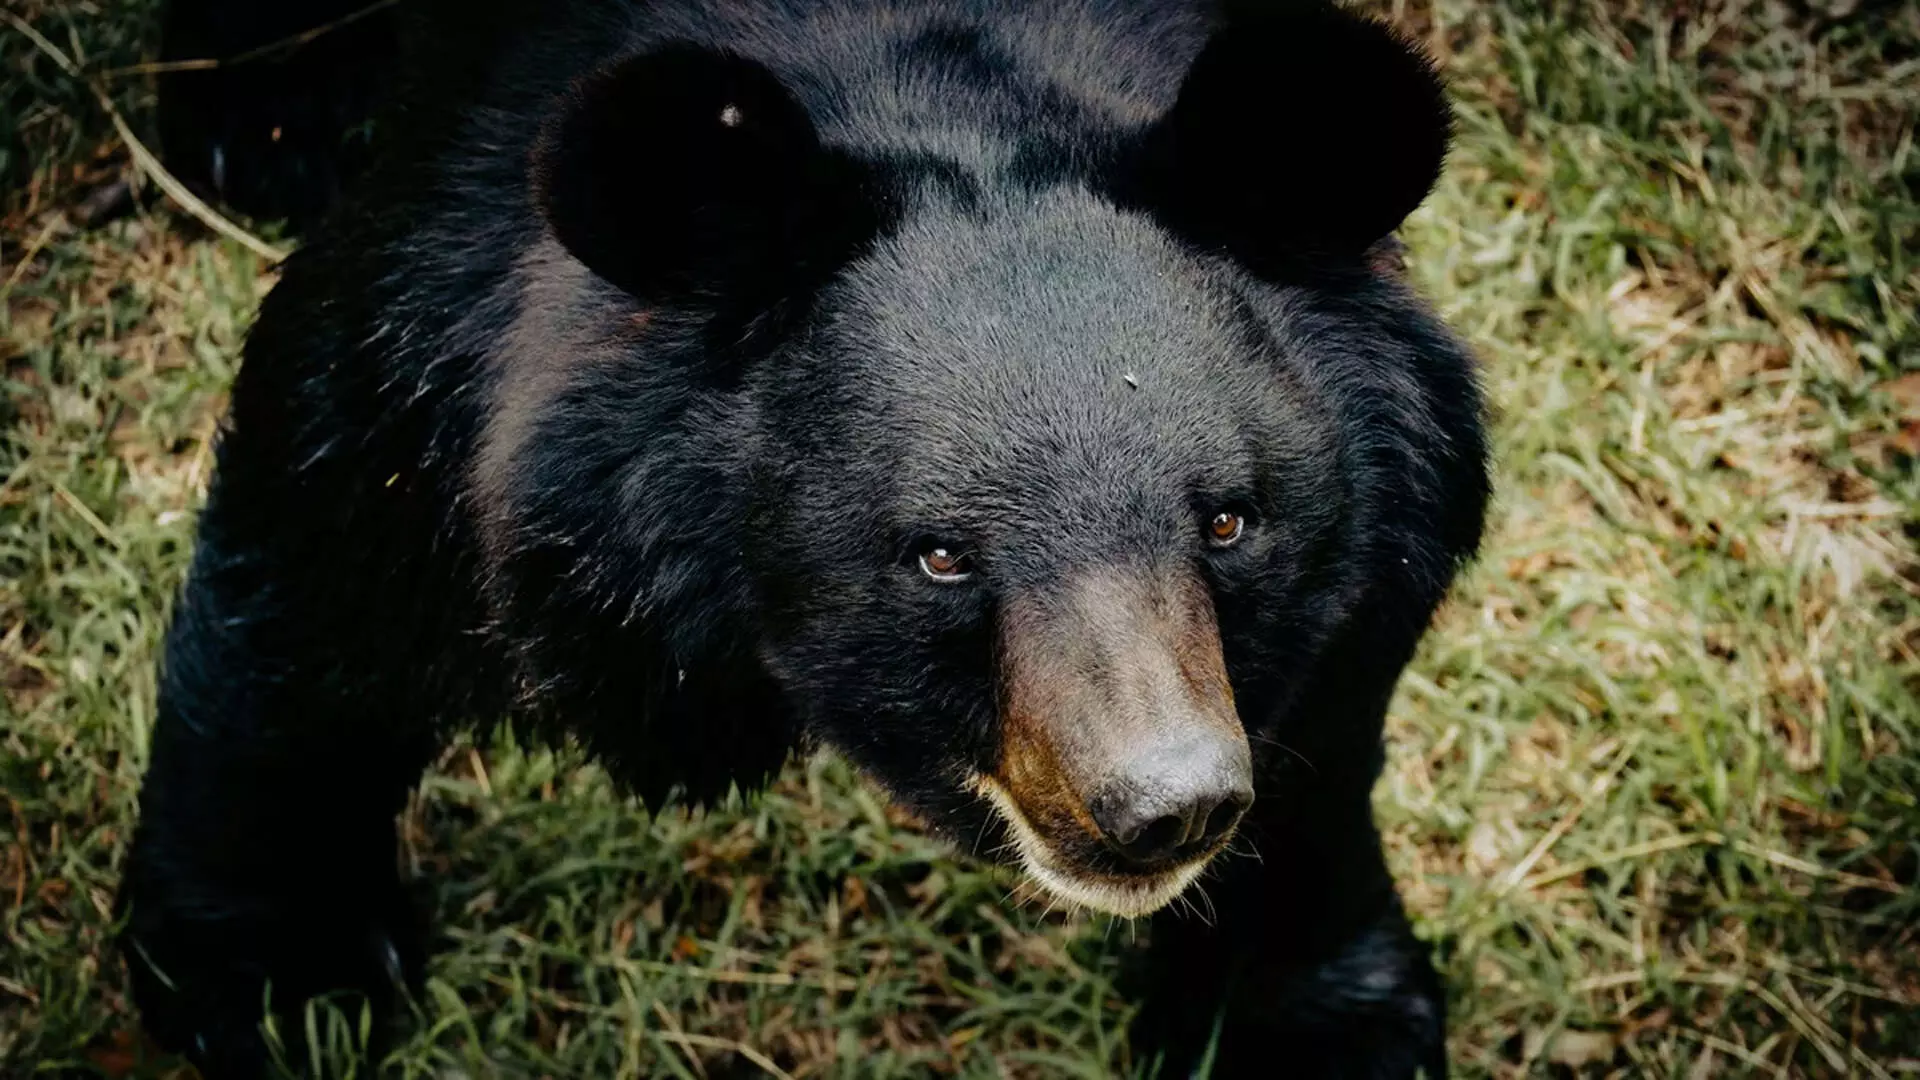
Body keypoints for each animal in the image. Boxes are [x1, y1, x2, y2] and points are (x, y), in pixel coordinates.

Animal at [123, 4, 1482, 1068]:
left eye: (1229, 519)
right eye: (940, 553)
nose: (1167, 807)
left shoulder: (1387, 487)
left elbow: (1325, 715)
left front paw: (1317, 1026)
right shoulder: (441, 333)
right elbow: (316, 583)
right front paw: (277, 987)